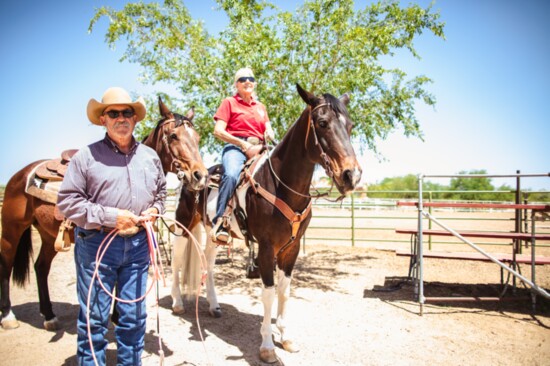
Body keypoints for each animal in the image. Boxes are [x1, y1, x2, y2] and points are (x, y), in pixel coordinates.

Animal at [0, 96, 209, 328]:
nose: (200, 176)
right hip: (11, 230)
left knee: (41, 267)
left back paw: (49, 315)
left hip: (48, 235)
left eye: (197, 137)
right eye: (173, 135)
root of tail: (21, 175)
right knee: (6, 265)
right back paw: (8, 316)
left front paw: (118, 316)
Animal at [170, 83, 364, 364]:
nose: (352, 176)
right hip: (182, 226)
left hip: (213, 233)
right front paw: (267, 346)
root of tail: (194, 175)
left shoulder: (291, 248)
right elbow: (269, 293)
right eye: (322, 122)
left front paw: (286, 337)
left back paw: (214, 306)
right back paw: (176, 302)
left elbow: (285, 290)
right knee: (176, 261)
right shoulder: (265, 247)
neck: (283, 186)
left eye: (350, 125)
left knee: (209, 263)